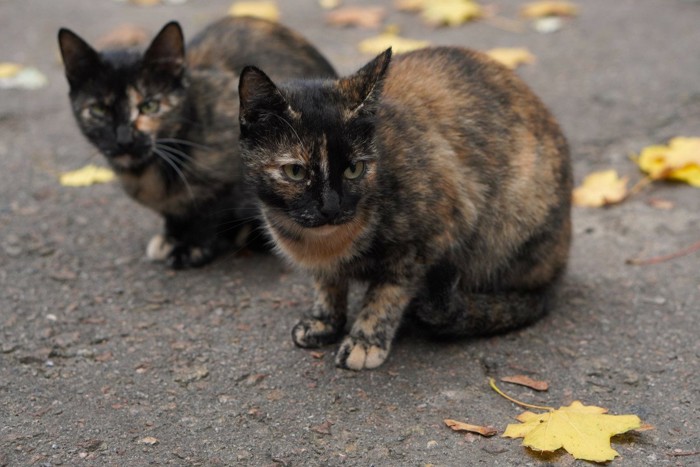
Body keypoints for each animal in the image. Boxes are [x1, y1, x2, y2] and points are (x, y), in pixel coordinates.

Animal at [57, 17, 336, 266]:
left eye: (150, 106)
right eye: (98, 110)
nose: (124, 140)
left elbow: (209, 211)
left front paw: (192, 247)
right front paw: (173, 236)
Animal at [238, 46, 572, 370]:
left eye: (354, 169)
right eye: (295, 172)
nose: (331, 207)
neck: (323, 244)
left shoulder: (429, 238)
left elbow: (387, 293)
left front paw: (365, 341)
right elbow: (327, 283)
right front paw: (324, 322)